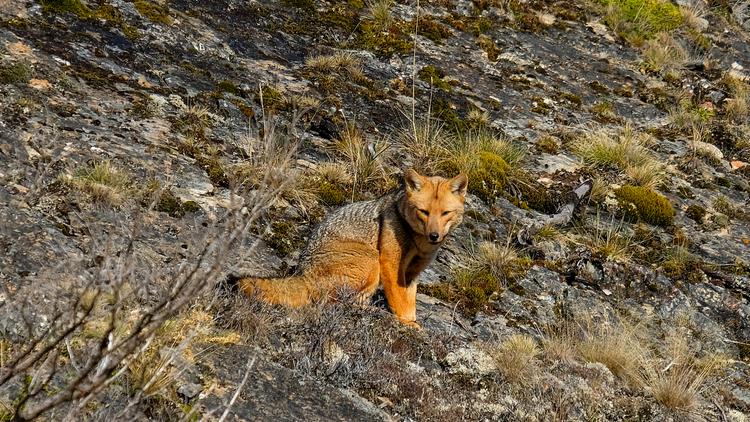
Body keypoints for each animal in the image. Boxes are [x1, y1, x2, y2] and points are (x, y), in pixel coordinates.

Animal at [241, 168, 468, 326]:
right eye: (424, 212)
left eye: (445, 213)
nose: (434, 236)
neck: (418, 242)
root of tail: (302, 273)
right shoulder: (391, 264)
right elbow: (399, 301)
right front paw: (407, 324)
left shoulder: (412, 272)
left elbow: (409, 302)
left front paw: (412, 321)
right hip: (371, 258)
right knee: (329, 303)